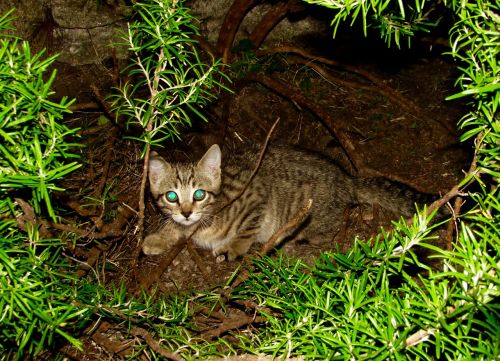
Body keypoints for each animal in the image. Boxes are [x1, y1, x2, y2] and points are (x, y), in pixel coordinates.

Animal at [144, 143, 430, 258]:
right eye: (171, 196)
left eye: (199, 194)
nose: (186, 212)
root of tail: (347, 179)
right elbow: (174, 227)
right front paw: (158, 238)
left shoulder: (256, 196)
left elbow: (247, 229)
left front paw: (233, 248)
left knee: (327, 232)